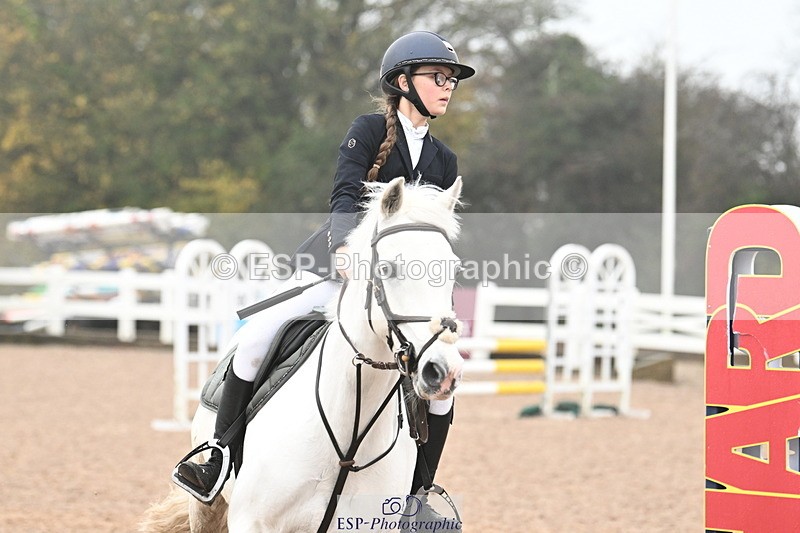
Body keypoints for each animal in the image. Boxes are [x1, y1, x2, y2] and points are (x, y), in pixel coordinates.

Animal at [140, 176, 466, 532]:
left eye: (453, 269)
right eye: (388, 268)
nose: (442, 371)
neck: (349, 433)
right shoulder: (253, 521)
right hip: (206, 506)